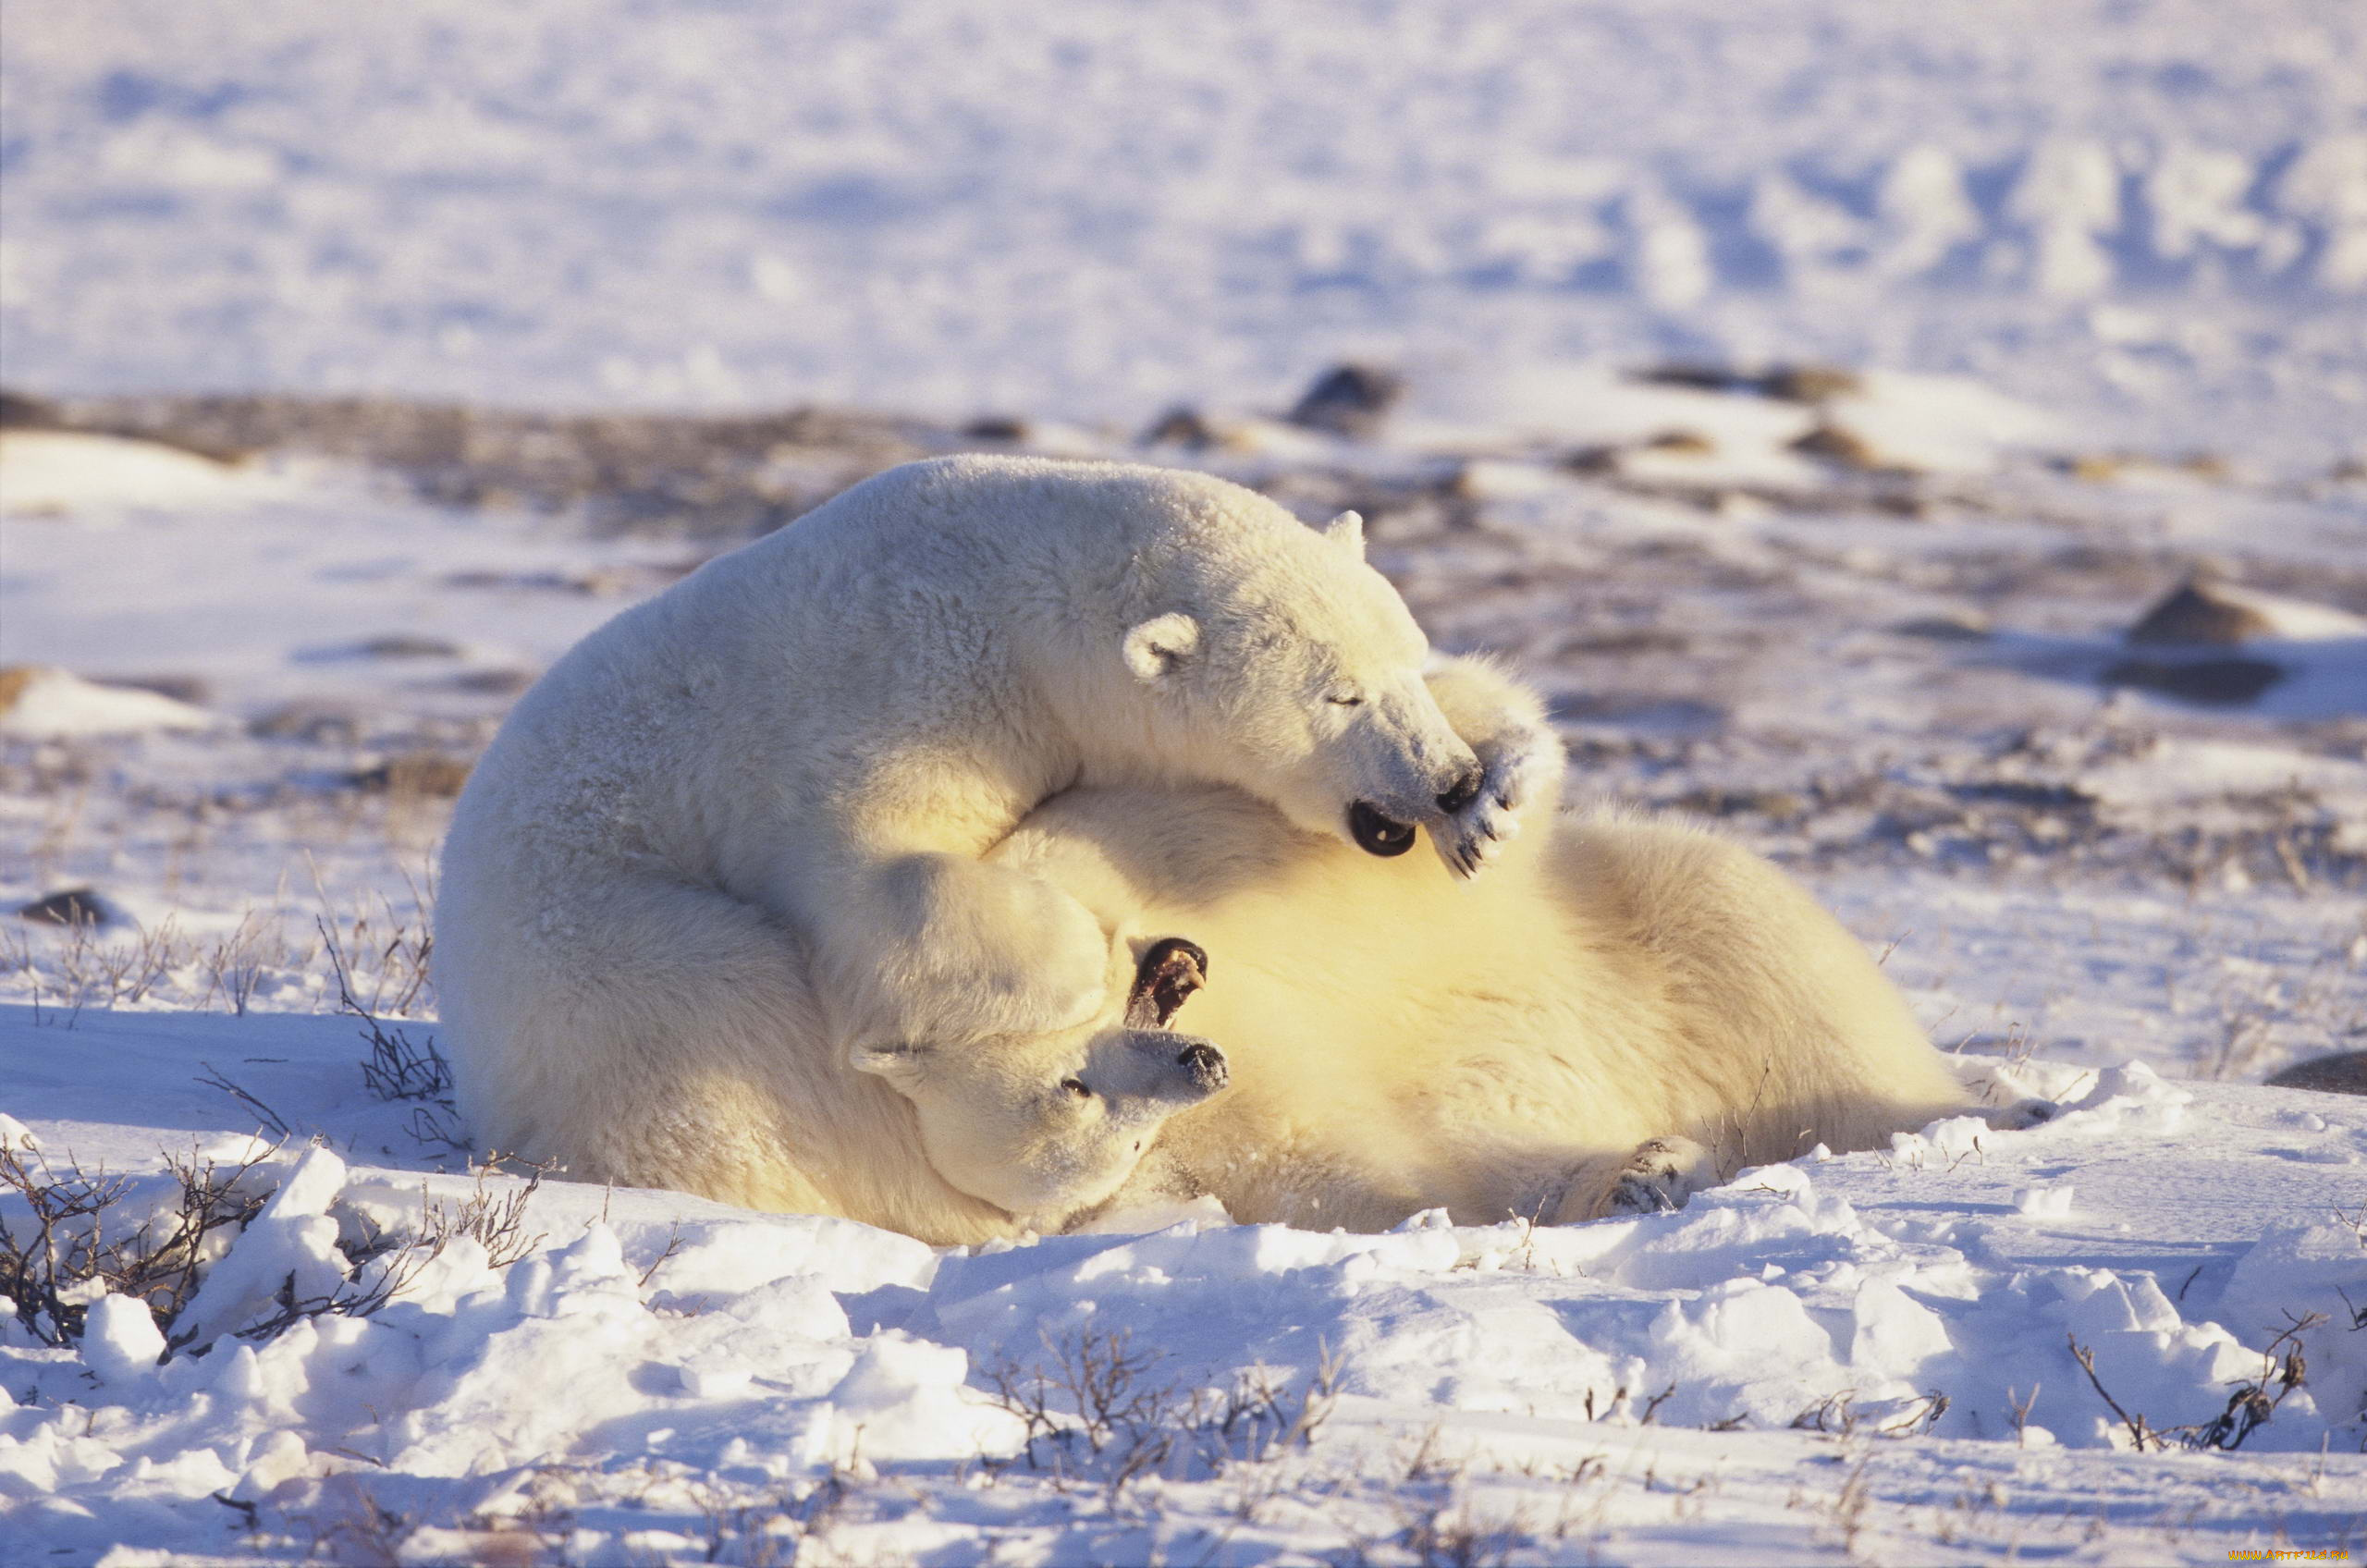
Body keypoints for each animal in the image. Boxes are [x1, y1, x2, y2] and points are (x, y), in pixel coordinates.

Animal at [435, 447, 1562, 1231]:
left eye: (1406, 658)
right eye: (1341, 694)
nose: (1444, 779)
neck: (1010, 596)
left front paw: (1498, 797)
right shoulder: (888, 707)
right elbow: (881, 887)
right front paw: (1081, 974)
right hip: (612, 965)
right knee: (750, 1036)